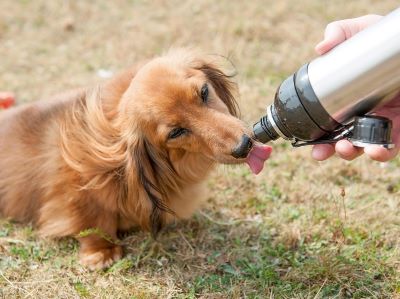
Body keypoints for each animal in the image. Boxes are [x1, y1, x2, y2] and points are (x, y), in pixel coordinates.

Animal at [0, 48, 272, 270]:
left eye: (204, 92)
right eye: (175, 132)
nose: (244, 146)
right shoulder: (75, 190)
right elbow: (94, 219)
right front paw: (101, 252)